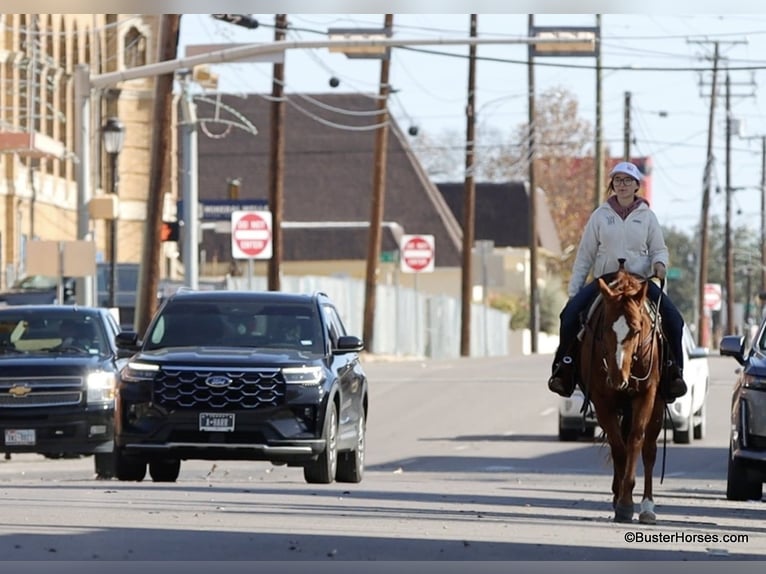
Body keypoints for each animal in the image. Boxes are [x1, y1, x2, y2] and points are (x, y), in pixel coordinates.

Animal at [584, 260, 664, 528]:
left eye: (637, 330)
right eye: (606, 327)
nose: (618, 378)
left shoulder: (647, 394)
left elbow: (635, 440)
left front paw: (629, 499)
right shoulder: (601, 400)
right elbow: (618, 446)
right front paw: (622, 500)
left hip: (658, 405)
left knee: (649, 451)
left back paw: (648, 506)